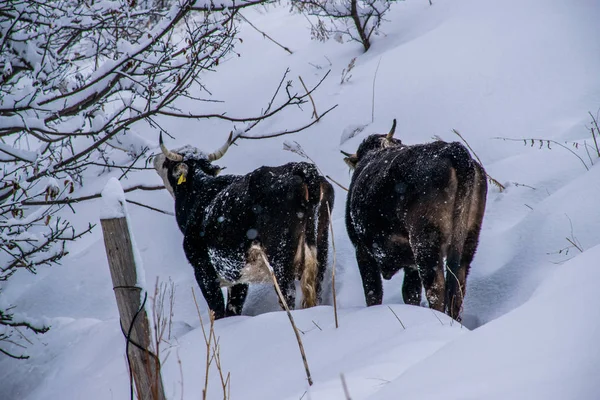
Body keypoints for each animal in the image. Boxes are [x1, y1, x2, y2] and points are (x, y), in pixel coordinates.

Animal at [155, 134, 332, 318]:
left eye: (168, 161)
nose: (154, 157)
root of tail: (301, 168)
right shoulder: (239, 278)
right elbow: (233, 308)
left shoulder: (203, 270)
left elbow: (217, 309)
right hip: (321, 247)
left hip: (280, 258)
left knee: (287, 295)